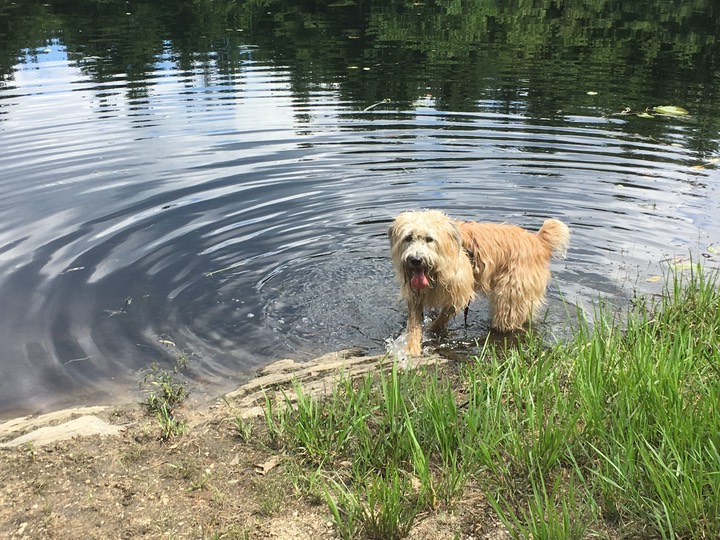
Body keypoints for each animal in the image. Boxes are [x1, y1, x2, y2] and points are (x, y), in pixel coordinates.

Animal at [390, 209, 572, 356]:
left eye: (429, 239)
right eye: (408, 238)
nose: (416, 260)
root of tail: (539, 241)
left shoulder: (460, 292)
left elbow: (444, 316)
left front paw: (432, 330)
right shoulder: (415, 295)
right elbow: (414, 324)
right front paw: (412, 348)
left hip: (511, 293)